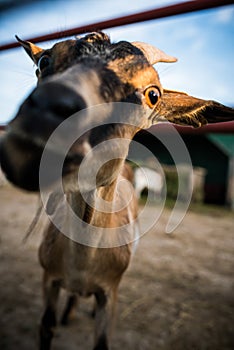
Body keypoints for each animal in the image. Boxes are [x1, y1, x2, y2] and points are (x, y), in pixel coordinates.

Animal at [0, 32, 233, 350]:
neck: (82, 263)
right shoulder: (49, 278)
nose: (44, 118)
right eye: (44, 61)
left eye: (153, 95)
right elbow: (46, 327)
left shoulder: (110, 292)